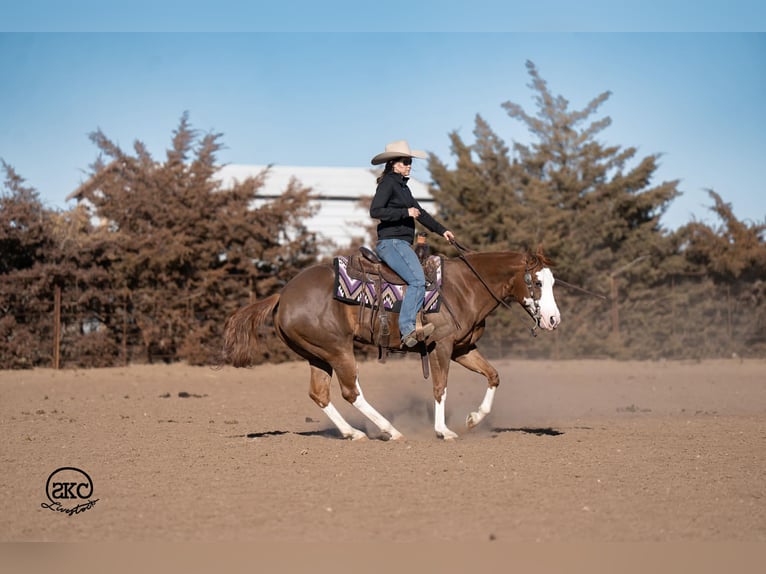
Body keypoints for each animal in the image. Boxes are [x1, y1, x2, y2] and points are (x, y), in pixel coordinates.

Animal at [222, 245, 561, 440]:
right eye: (537, 282)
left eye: (553, 281)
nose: (553, 320)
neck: (465, 287)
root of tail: (283, 295)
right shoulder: (441, 346)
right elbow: (440, 388)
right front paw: (443, 431)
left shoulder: (463, 348)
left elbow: (493, 375)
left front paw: (474, 419)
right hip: (338, 350)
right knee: (351, 392)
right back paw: (390, 430)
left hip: (318, 355)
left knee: (320, 394)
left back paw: (353, 433)